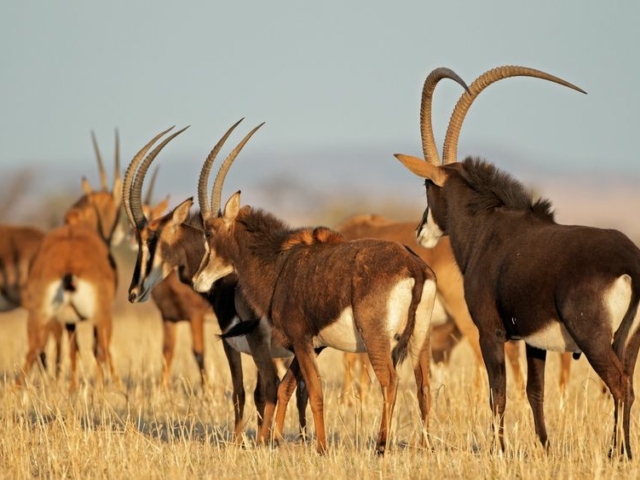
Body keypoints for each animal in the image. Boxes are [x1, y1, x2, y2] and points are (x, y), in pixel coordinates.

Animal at [17, 132, 123, 390]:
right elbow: (95, 350)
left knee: (33, 351)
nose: (118, 234)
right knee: (103, 349)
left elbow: (74, 350)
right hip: (103, 316)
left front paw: (74, 389)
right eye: (116, 208)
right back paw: (118, 390)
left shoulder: (69, 320)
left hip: (39, 317)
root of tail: (68, 268)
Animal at [123, 122, 300, 444]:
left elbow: (241, 392)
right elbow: (258, 394)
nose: (133, 292)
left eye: (152, 240)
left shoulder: (232, 342)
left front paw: (238, 441)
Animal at [191, 121, 446, 455]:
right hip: (421, 338)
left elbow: (313, 389)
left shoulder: (301, 339)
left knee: (390, 381)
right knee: (424, 385)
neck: (278, 261)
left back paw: (381, 445)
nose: (198, 280)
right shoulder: (312, 345)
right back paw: (425, 446)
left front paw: (320, 447)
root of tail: (413, 265)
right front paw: (274, 440)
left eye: (208, 233)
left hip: (377, 339)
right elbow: (287, 387)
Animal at [395, 65, 640, 458]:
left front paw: (499, 451)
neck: (488, 226)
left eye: (427, 187)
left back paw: (616, 454)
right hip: (627, 341)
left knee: (618, 384)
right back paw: (624, 452)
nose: (421, 232)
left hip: (593, 339)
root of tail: (629, 262)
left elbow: (499, 394)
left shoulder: (490, 333)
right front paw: (545, 448)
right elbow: (534, 392)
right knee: (629, 386)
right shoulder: (535, 341)